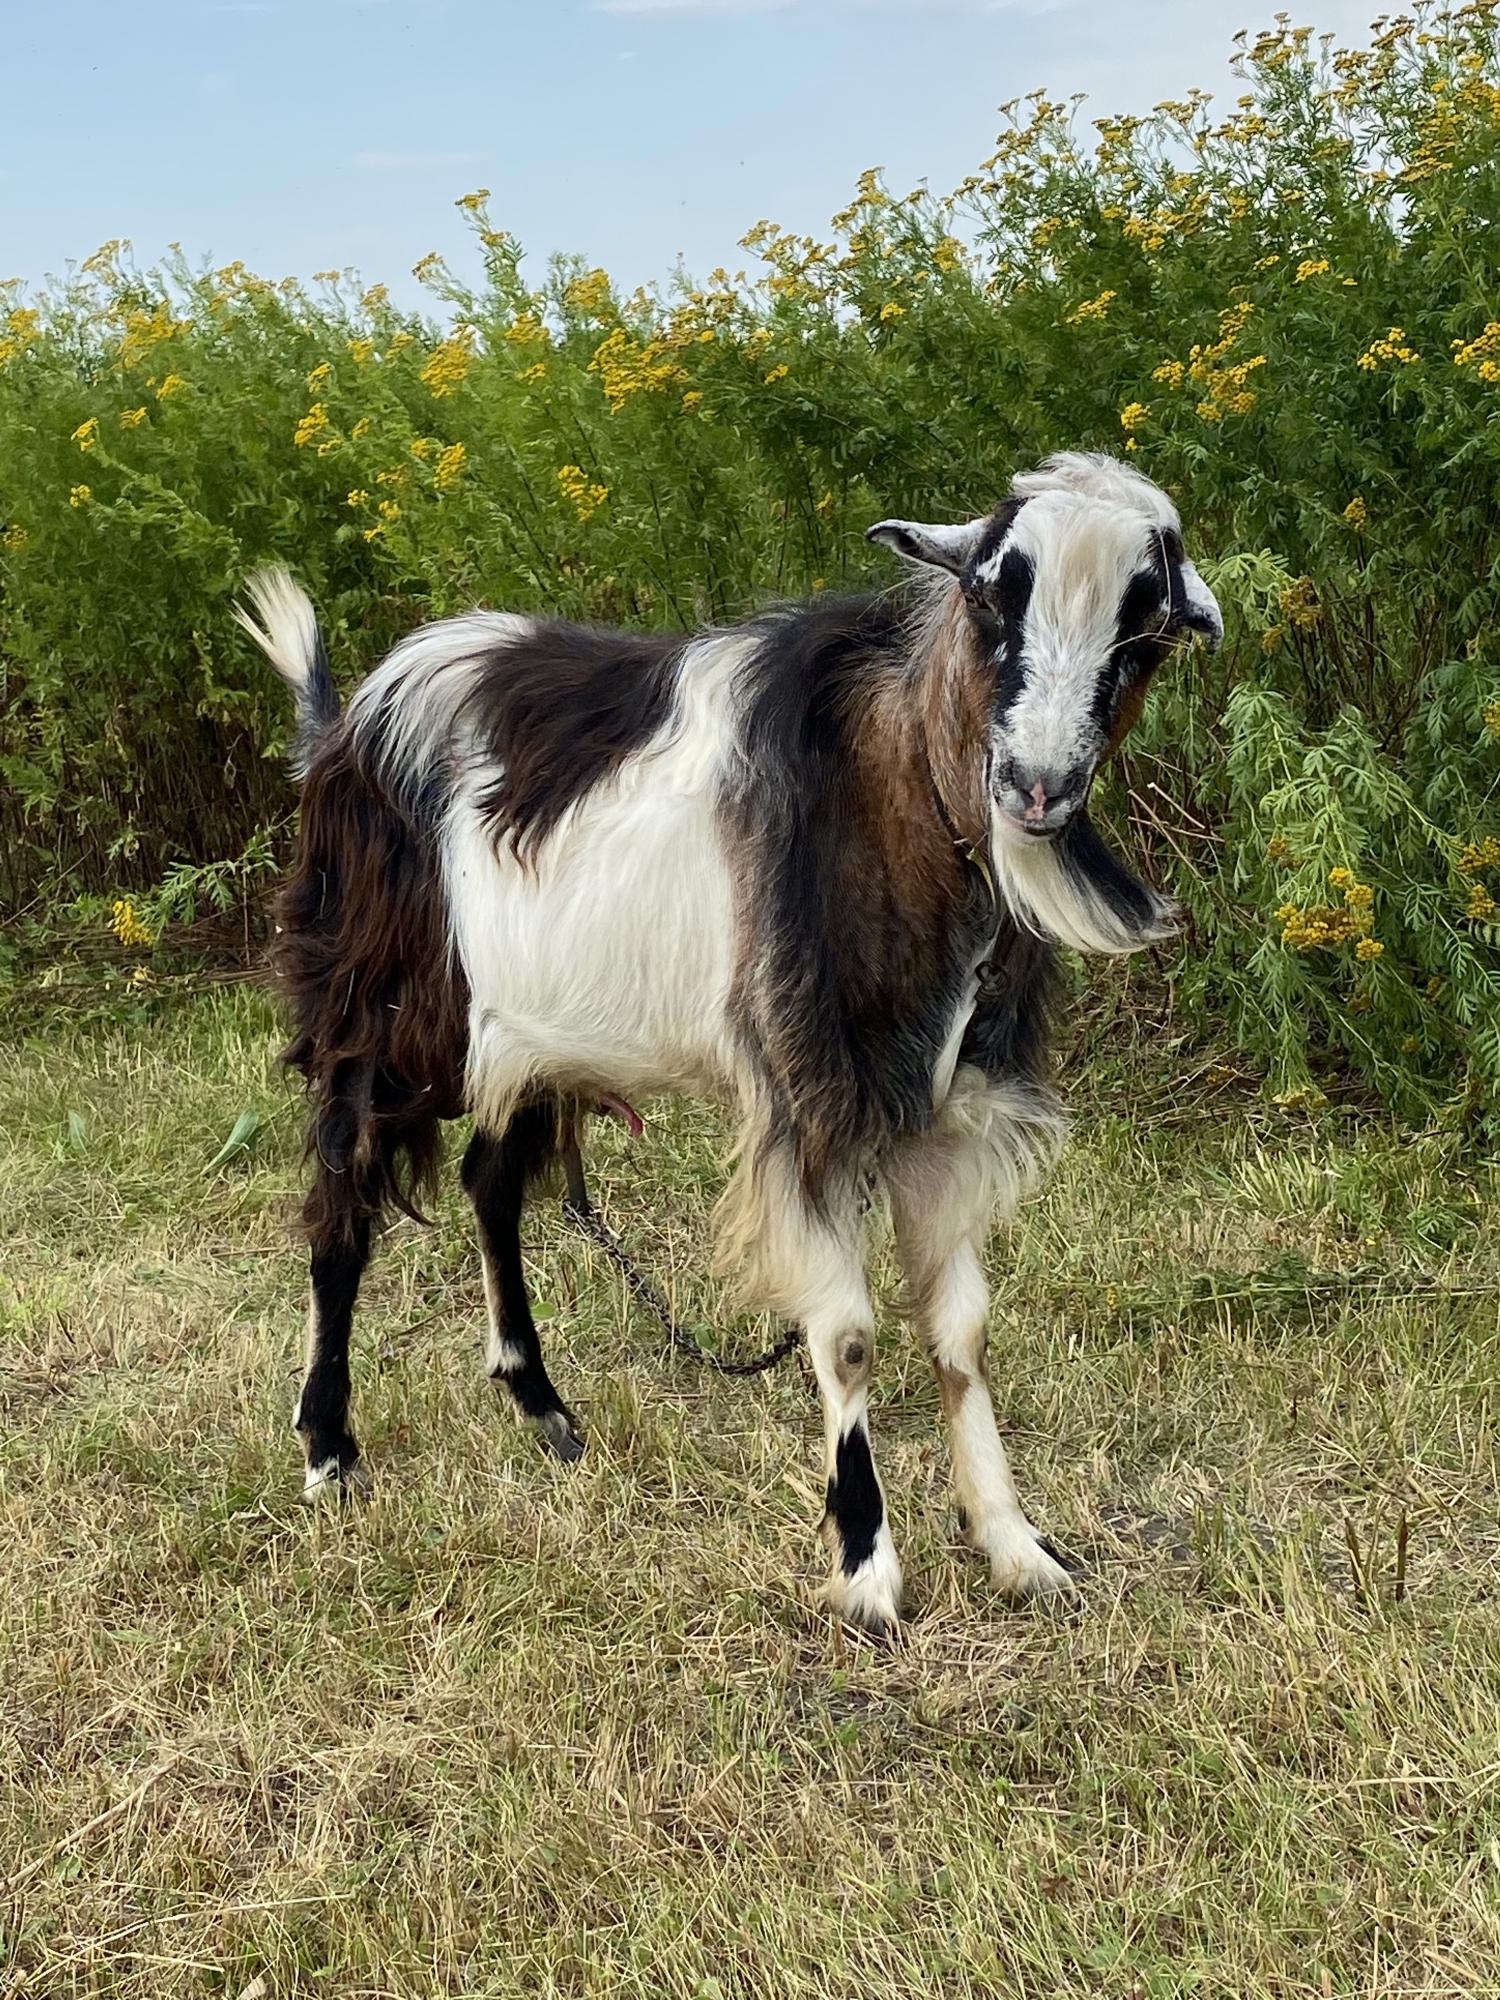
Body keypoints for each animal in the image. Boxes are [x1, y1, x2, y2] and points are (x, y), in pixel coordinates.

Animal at [235, 454, 1224, 1640]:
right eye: (993, 595)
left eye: (1145, 625)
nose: (1036, 785)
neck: (888, 792)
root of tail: (344, 724)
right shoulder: (809, 1097)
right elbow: (846, 1335)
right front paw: (867, 1568)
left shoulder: (948, 1110)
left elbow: (962, 1332)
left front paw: (1016, 1545)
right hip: (380, 1011)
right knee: (341, 1202)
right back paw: (330, 1450)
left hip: (528, 1036)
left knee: (489, 1185)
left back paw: (543, 1407)